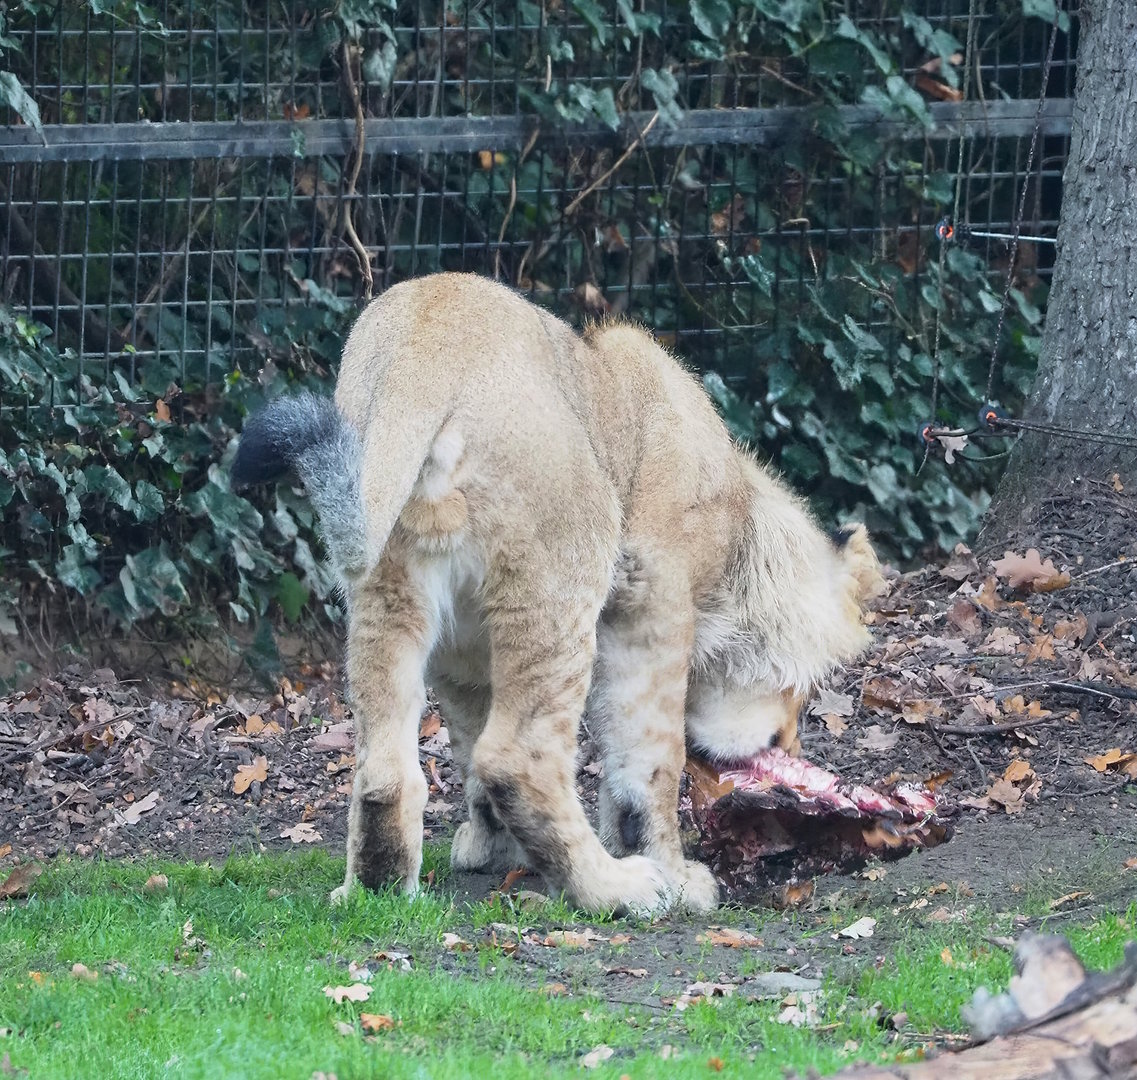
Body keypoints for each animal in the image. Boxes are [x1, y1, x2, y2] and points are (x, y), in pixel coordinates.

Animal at [231, 272, 882, 915]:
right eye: (801, 691)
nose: (787, 744)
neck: (739, 528)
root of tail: (423, 348)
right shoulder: (652, 603)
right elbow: (648, 765)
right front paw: (678, 880)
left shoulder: (464, 655)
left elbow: (471, 752)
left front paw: (489, 849)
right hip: (568, 570)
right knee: (519, 760)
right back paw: (618, 890)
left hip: (386, 587)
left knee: (386, 768)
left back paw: (378, 888)